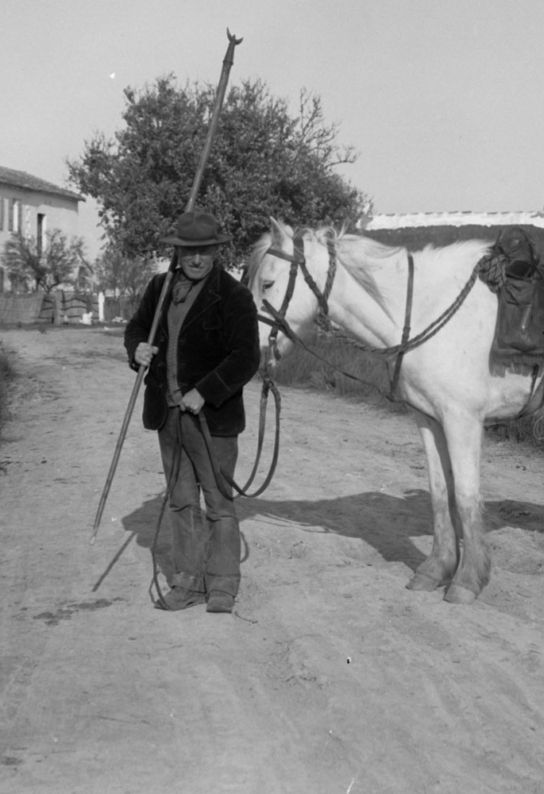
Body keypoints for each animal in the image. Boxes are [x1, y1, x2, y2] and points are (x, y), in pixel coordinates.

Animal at [248, 220, 544, 604]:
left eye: (268, 283)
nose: (252, 351)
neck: (423, 311)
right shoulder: (429, 419)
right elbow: (440, 492)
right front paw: (436, 569)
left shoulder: (462, 421)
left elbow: (466, 495)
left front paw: (466, 581)